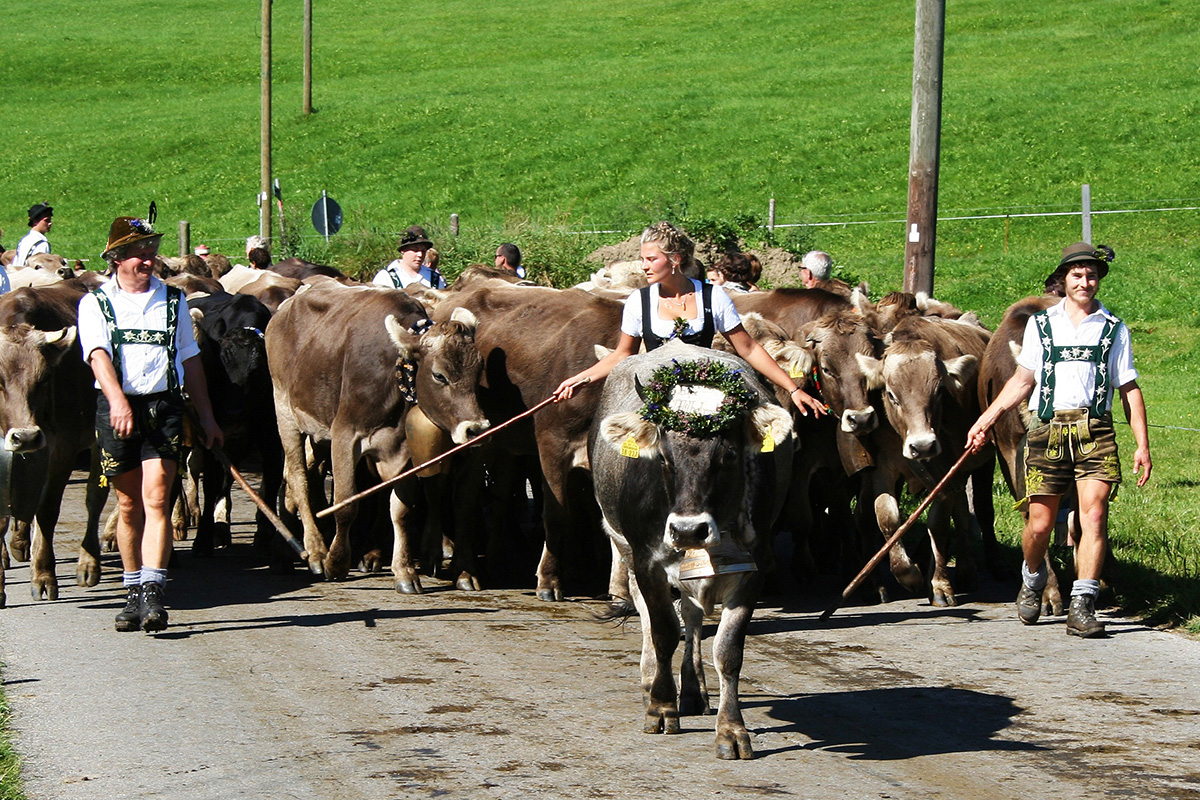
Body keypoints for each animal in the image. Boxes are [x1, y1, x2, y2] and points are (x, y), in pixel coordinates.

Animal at [266, 284, 487, 592]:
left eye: (478, 370)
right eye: (439, 375)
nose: (476, 429)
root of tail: (288, 304)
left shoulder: (403, 451)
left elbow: (401, 511)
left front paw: (404, 571)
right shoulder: (345, 435)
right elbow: (346, 504)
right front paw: (336, 562)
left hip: (318, 433)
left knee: (294, 475)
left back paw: (284, 551)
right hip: (285, 412)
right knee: (298, 477)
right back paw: (316, 551)